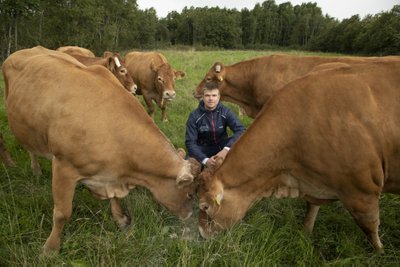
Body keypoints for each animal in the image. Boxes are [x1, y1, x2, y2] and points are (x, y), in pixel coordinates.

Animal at [3, 46, 200, 255]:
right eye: (190, 194)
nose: (189, 215)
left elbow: (114, 198)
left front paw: (120, 219)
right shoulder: (64, 167)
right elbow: (62, 213)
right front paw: (50, 248)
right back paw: (31, 168)